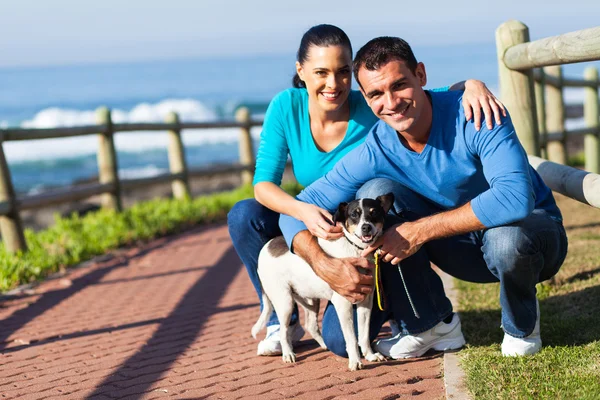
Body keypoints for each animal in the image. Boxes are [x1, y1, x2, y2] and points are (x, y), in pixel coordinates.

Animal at [250, 194, 394, 372]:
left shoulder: (366, 302)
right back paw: (288, 354)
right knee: (284, 331)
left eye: (374, 213)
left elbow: (364, 334)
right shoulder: (343, 305)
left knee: (311, 325)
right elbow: (351, 338)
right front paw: (355, 361)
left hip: (310, 299)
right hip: (285, 302)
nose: (366, 227)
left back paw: (324, 345)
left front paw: (370, 355)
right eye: (354, 215)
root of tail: (266, 247)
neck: (356, 249)